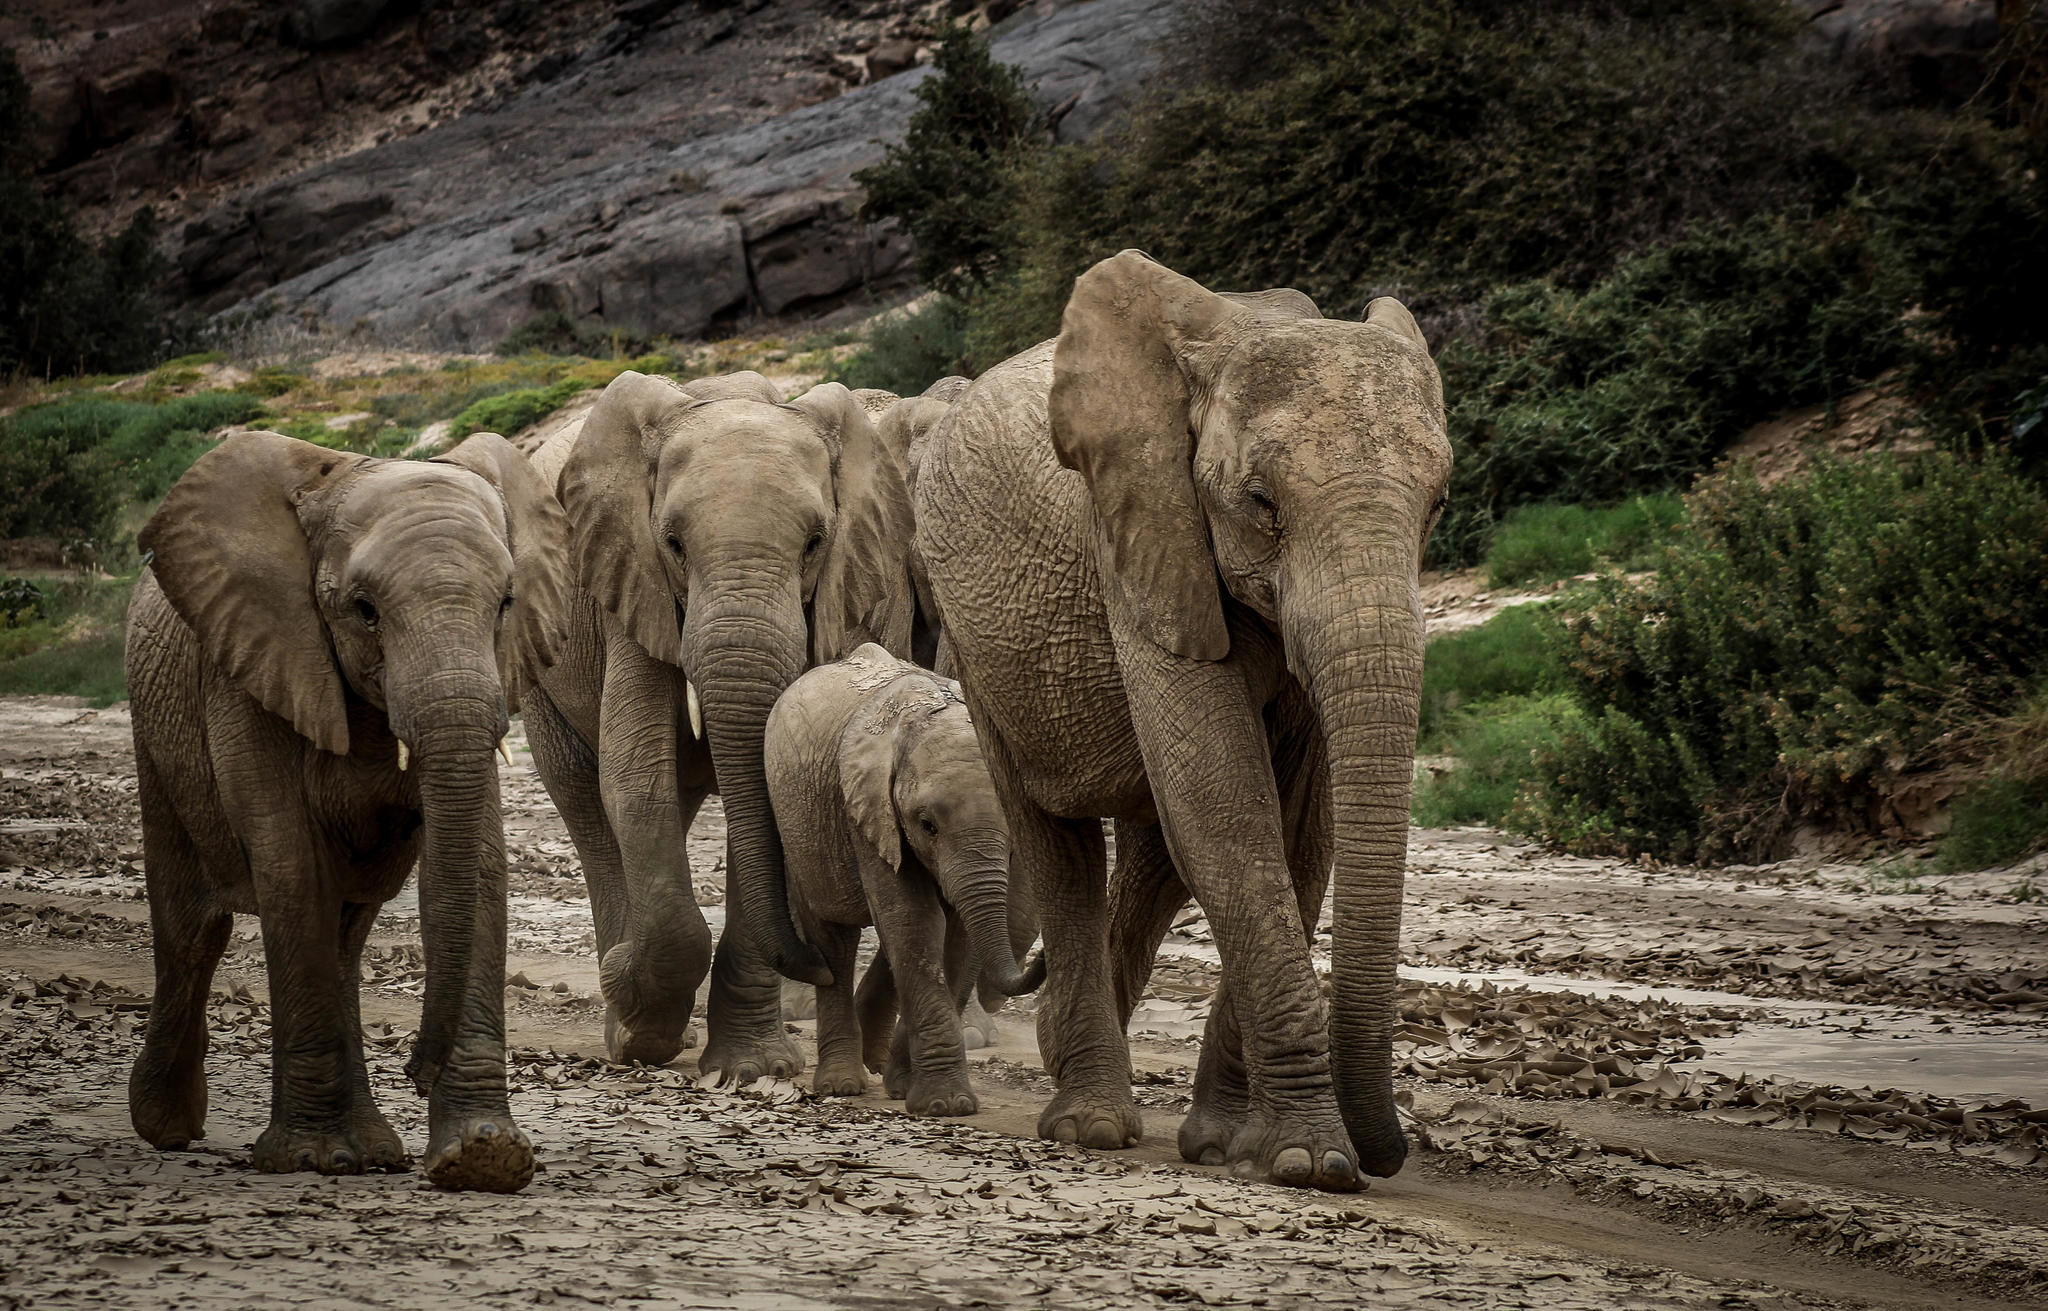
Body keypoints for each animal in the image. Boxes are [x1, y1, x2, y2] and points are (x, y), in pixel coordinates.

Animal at [124, 428, 567, 1193]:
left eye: (506, 602)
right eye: (364, 609)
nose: (416, 1068)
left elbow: (478, 865)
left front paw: (484, 1158)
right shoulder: (253, 661)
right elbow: (290, 863)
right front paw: (311, 1159)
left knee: (344, 932)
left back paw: (372, 1149)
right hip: (154, 732)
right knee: (192, 924)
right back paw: (170, 1127)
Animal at [520, 369, 920, 1080]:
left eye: (815, 543)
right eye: (673, 544)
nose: (816, 965)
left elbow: (768, 781)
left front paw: (754, 1067)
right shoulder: (630, 581)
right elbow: (634, 773)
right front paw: (641, 1020)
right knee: (584, 796)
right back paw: (625, 1021)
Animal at [764, 644, 1043, 1113]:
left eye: (1014, 828)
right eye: (927, 825)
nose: (1041, 962)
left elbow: (954, 934)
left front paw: (915, 1090)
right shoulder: (866, 809)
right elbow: (914, 922)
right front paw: (945, 1105)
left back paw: (883, 1071)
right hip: (800, 830)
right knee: (834, 940)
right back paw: (842, 1083)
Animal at [912, 250, 1450, 1190]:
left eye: (1438, 505)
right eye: (1262, 503)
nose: (1390, 1155)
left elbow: (1298, 833)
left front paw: (1239, 1146)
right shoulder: (1137, 536)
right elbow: (1228, 812)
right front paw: (1315, 1160)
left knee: (1155, 859)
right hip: (973, 645)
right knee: (1058, 844)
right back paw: (1088, 1121)